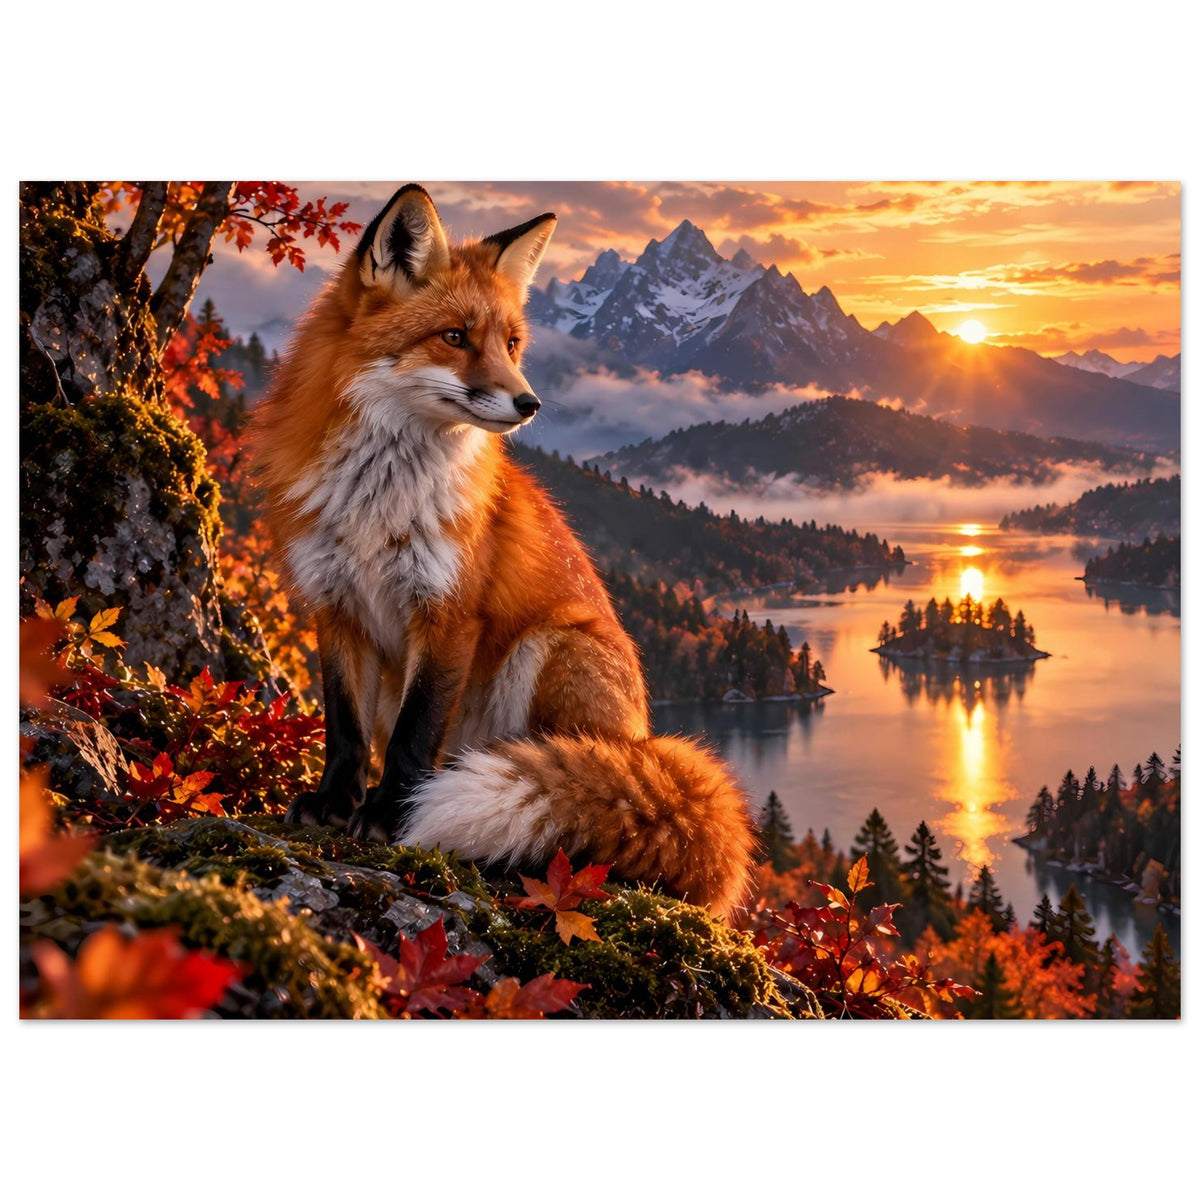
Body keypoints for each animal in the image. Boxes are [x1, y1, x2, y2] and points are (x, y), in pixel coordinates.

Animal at [251, 184, 755, 919]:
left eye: (512, 343)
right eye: (455, 337)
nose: (529, 402)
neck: (378, 502)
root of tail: (644, 738)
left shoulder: (449, 612)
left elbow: (413, 738)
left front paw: (390, 818)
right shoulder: (335, 604)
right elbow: (345, 729)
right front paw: (334, 804)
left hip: (548, 648)